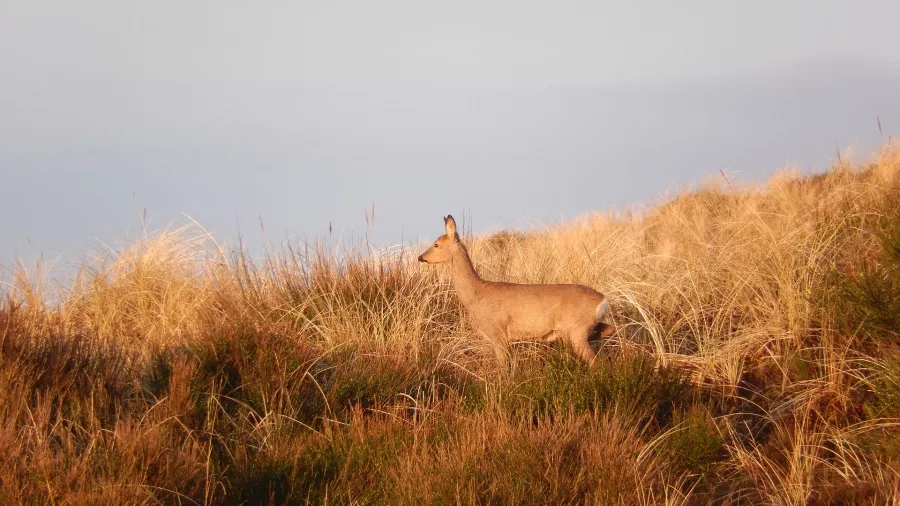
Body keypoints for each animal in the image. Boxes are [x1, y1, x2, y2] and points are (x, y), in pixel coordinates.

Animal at [418, 213, 616, 368]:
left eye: (436, 244)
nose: (421, 257)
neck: (476, 294)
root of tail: (603, 300)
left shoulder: (498, 334)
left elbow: (503, 371)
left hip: (578, 331)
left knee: (597, 364)